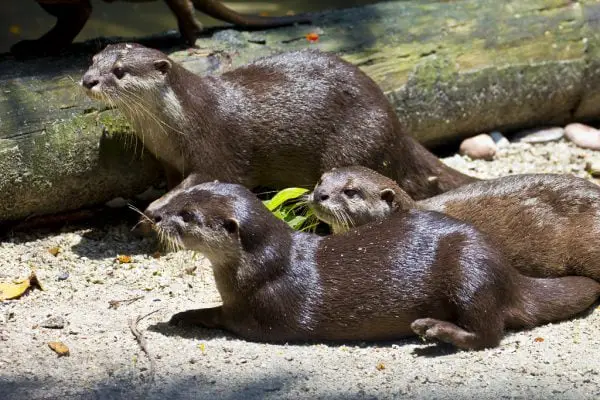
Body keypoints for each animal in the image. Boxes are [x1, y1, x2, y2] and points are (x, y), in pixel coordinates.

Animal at [82, 43, 478, 208]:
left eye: (120, 71)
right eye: (92, 60)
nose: (88, 80)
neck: (183, 121)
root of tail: (397, 126)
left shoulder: (218, 151)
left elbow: (214, 178)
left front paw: (155, 209)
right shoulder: (166, 159)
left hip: (356, 142)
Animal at [145, 181, 600, 350]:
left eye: (186, 215)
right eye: (180, 194)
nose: (154, 215)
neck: (259, 268)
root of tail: (510, 274)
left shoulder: (260, 312)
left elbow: (227, 318)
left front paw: (190, 316)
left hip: (470, 274)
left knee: (489, 333)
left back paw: (433, 329)